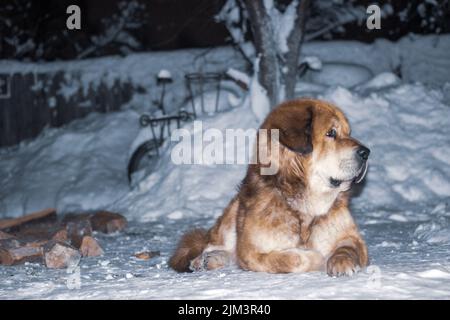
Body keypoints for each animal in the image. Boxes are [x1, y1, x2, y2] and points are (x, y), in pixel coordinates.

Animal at [169, 99, 370, 276]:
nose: (366, 152)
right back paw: (202, 260)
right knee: (211, 245)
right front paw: (317, 258)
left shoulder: (353, 238)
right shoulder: (251, 252)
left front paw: (341, 262)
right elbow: (292, 259)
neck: (305, 208)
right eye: (331, 133)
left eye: (348, 133)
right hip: (231, 217)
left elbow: (347, 249)